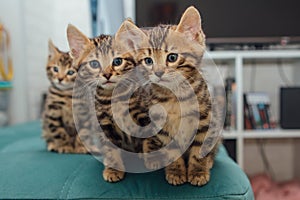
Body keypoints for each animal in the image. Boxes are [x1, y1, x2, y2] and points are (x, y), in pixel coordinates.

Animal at [117, 6, 223, 186]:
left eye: (172, 57)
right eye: (148, 61)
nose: (158, 72)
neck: (176, 96)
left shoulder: (205, 122)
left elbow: (199, 150)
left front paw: (198, 172)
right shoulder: (163, 128)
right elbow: (172, 152)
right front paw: (176, 172)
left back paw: (208, 162)